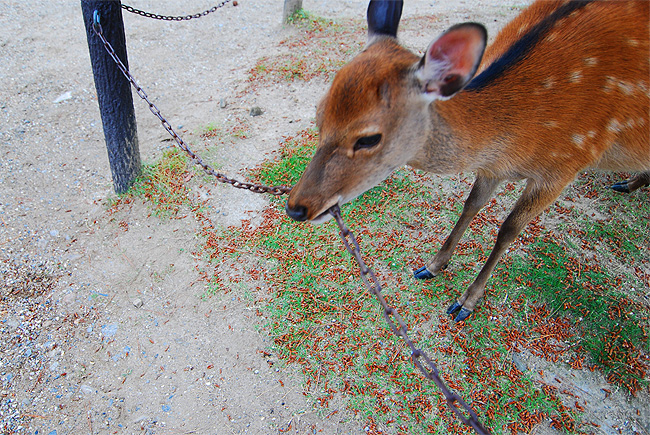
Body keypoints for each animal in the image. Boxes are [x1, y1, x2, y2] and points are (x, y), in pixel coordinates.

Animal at [284, 0, 648, 322]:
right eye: (319, 112)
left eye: (368, 138)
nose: (296, 207)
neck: (519, 136)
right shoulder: (493, 168)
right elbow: (471, 205)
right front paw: (432, 265)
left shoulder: (566, 163)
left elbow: (508, 229)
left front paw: (466, 302)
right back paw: (629, 183)